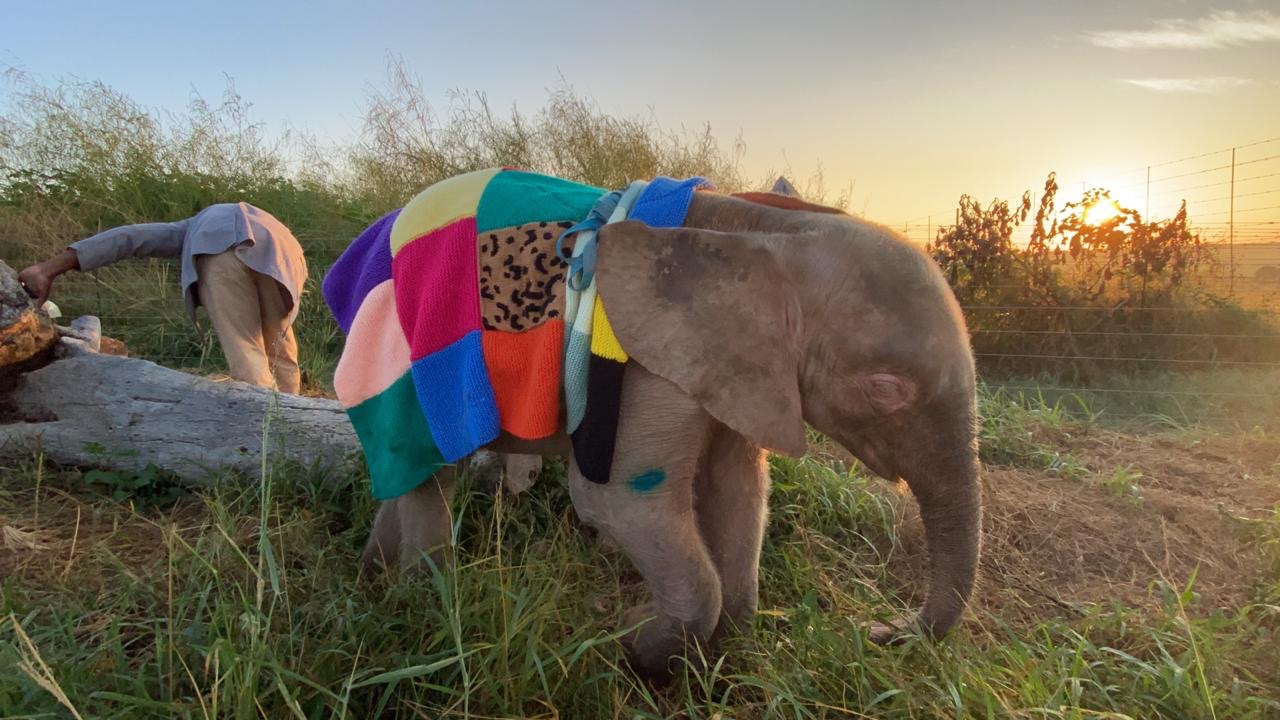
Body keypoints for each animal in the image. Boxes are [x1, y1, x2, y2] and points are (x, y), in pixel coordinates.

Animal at [347, 178, 980, 679]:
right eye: (886, 388)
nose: (877, 629)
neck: (767, 231)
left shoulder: (734, 366)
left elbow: (738, 489)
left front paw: (701, 652)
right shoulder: (644, 363)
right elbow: (617, 500)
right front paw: (624, 642)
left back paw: (374, 583)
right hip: (402, 366)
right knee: (430, 473)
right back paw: (426, 610)